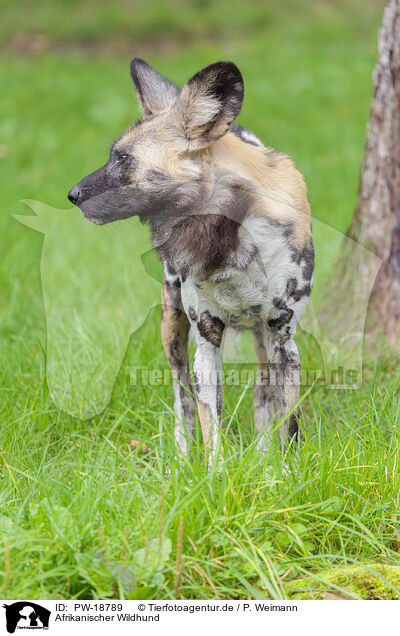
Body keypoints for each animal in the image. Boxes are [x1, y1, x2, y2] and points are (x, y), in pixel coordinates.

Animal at [68, 58, 312, 468]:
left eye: (123, 159)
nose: (72, 194)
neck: (234, 241)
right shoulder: (206, 340)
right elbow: (209, 425)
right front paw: (215, 476)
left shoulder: (284, 338)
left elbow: (288, 424)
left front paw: (287, 472)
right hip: (173, 327)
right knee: (181, 398)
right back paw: (182, 461)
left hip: (262, 340)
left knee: (262, 392)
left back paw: (262, 453)